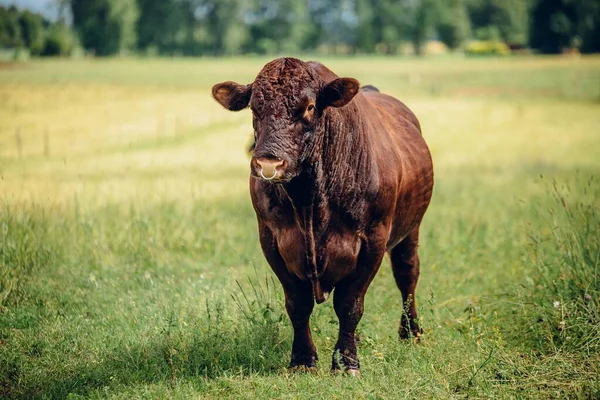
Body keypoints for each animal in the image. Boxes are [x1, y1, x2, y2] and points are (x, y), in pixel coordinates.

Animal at [213, 57, 434, 376]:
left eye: (308, 107)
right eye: (254, 108)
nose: (268, 163)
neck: (309, 201)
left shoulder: (373, 240)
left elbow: (350, 304)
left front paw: (346, 362)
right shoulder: (271, 240)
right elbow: (297, 303)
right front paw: (303, 359)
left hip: (411, 229)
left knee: (408, 277)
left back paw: (411, 333)